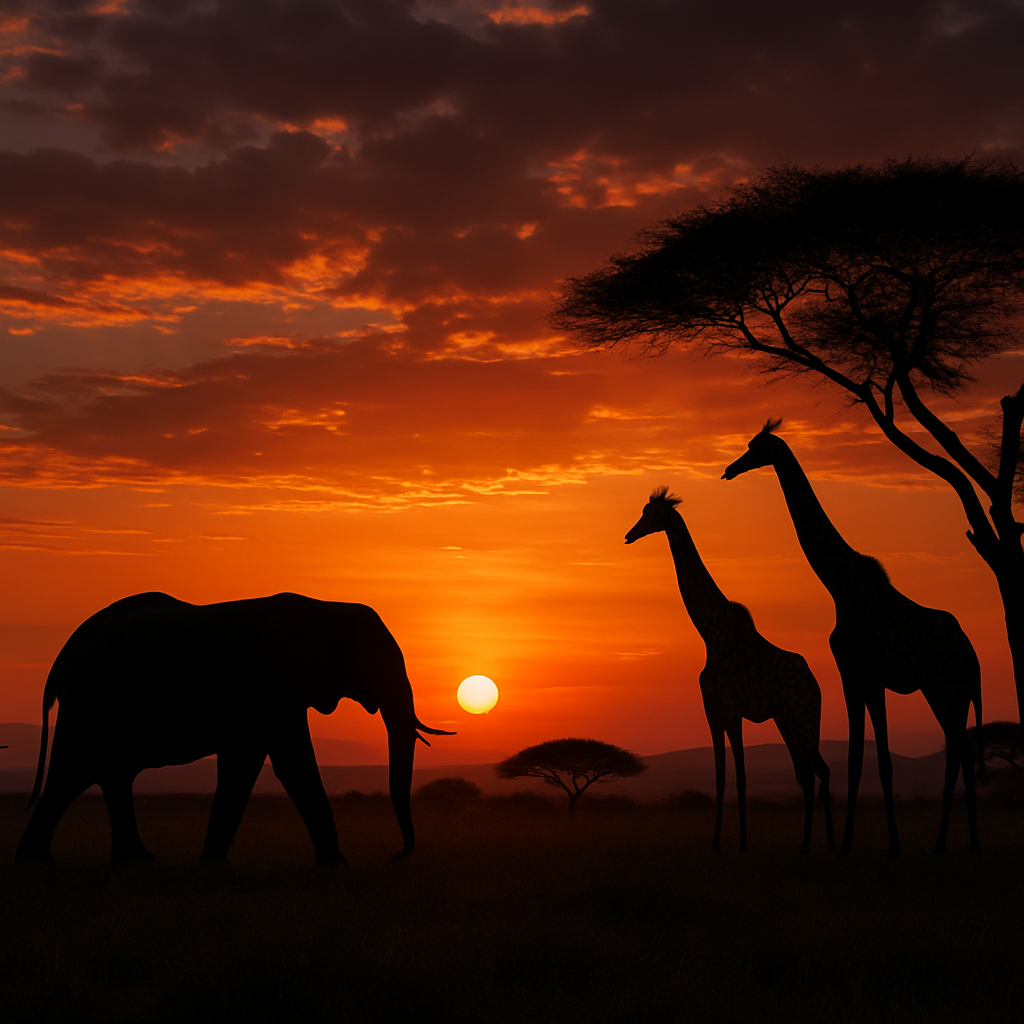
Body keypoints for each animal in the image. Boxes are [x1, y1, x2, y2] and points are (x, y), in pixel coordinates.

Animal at [16, 592, 454, 864]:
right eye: (374, 664)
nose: (395, 856)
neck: (323, 605)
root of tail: (62, 657)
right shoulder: (266, 684)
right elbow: (289, 765)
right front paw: (337, 865)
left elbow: (246, 766)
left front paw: (213, 862)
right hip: (90, 700)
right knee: (74, 772)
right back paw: (39, 862)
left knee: (108, 775)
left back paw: (134, 861)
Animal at [626, 487, 834, 853]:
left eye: (650, 514)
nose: (629, 534)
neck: (711, 633)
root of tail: (814, 684)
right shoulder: (713, 710)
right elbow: (721, 777)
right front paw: (715, 842)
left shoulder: (732, 710)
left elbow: (741, 778)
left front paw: (742, 843)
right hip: (789, 720)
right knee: (813, 773)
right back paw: (814, 844)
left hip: (802, 716)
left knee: (815, 772)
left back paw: (813, 844)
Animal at [723, 420, 984, 855]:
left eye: (756, 447)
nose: (730, 469)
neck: (841, 587)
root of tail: (972, 656)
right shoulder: (852, 676)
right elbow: (857, 759)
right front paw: (847, 844)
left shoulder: (867, 676)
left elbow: (878, 761)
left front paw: (887, 845)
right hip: (948, 694)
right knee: (959, 755)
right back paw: (945, 845)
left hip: (947, 690)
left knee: (961, 753)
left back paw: (963, 845)